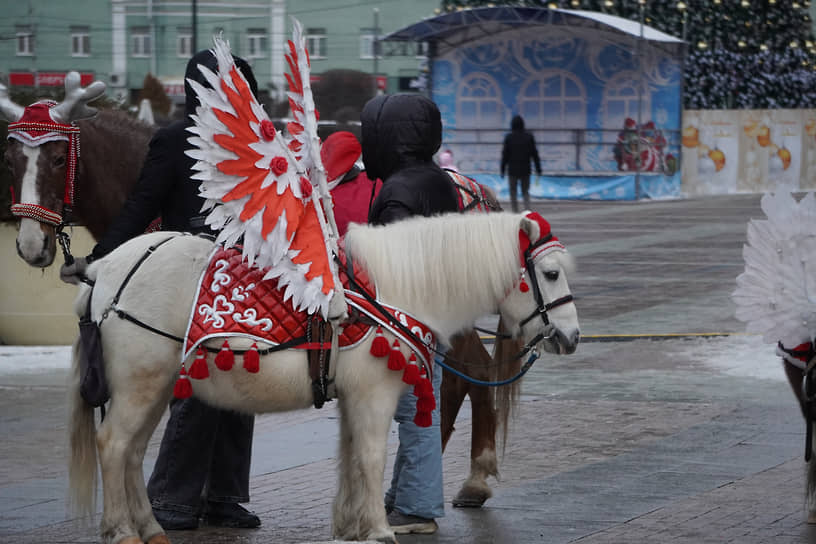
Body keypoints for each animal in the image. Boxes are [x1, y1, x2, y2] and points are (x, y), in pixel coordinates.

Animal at [1, 75, 528, 510]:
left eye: (56, 158)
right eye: (10, 159)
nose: (29, 244)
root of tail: (471, 189)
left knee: (471, 372)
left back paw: (470, 478)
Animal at [68, 209, 580, 544]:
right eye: (551, 273)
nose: (571, 337)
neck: (390, 290)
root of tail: (105, 270)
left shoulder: (354, 397)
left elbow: (350, 459)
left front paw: (351, 527)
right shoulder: (374, 393)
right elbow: (371, 457)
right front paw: (379, 530)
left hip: (151, 388)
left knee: (132, 453)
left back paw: (149, 528)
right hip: (141, 385)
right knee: (114, 445)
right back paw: (121, 530)